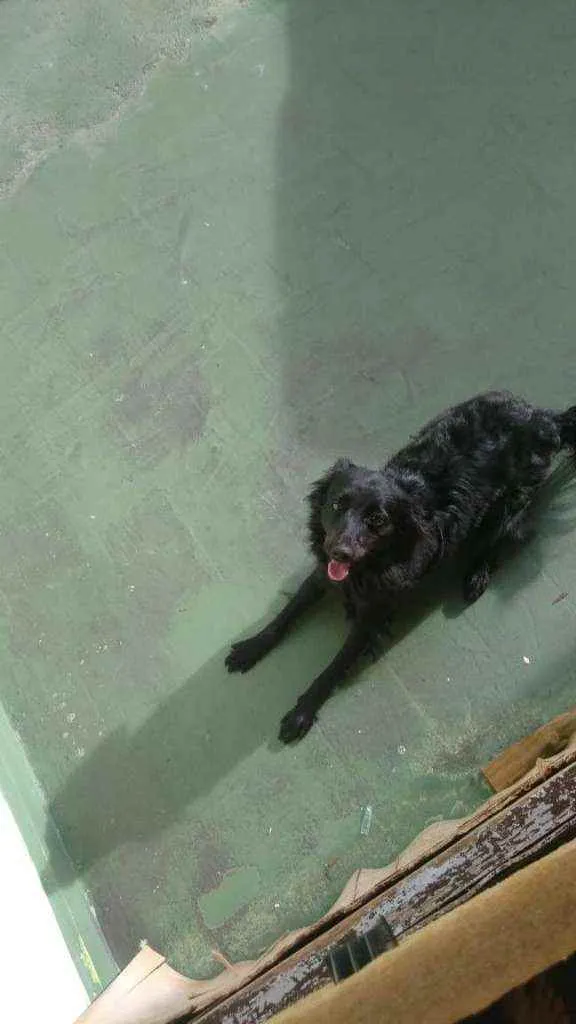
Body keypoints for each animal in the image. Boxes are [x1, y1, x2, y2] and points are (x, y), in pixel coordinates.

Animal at [226, 391, 576, 743]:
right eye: (337, 504)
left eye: (377, 520)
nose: (340, 552)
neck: (369, 565)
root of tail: (544, 419)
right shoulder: (322, 574)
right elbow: (287, 613)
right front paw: (252, 646)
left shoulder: (373, 615)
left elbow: (335, 665)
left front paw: (303, 711)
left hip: (508, 507)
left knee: (511, 535)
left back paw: (476, 575)